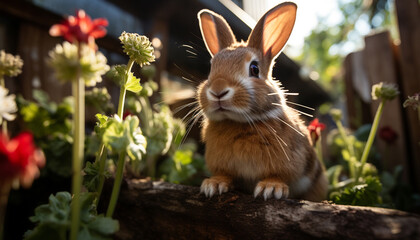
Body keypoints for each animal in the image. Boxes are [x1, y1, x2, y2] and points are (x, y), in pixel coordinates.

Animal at [195, 2, 330, 202]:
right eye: (211, 68)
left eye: (254, 68)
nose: (218, 91)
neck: (239, 122)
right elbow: (225, 175)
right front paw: (214, 184)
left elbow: (277, 175)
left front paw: (271, 188)